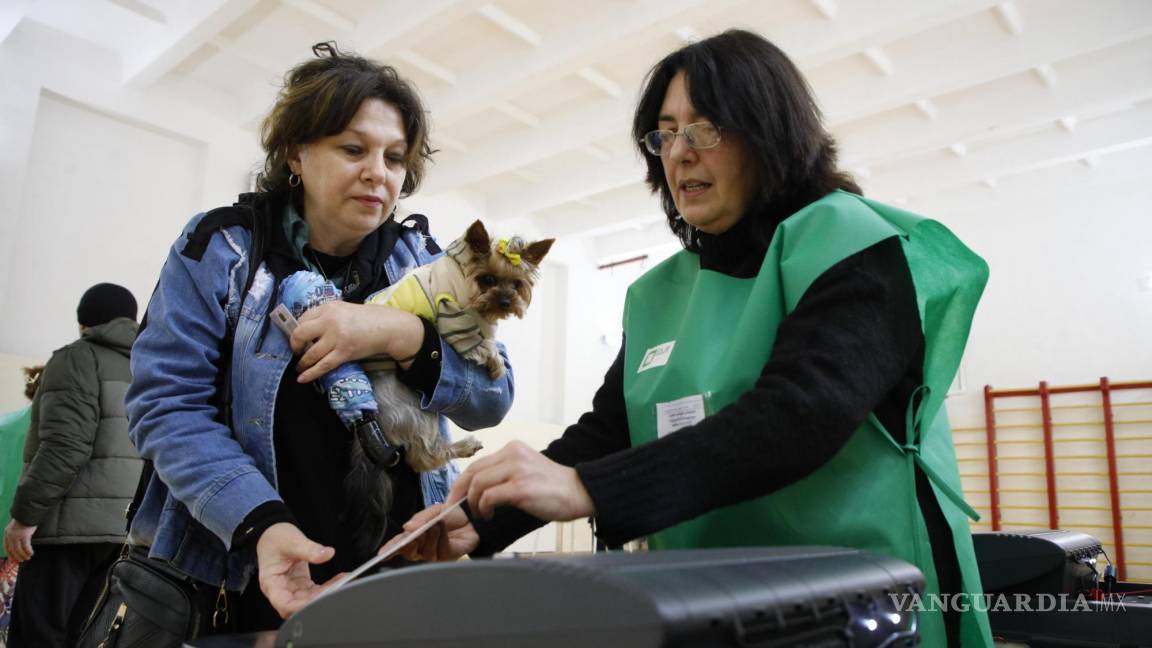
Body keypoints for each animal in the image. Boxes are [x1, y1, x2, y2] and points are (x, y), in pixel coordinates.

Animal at [343, 220, 550, 548]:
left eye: (517, 284)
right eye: (488, 279)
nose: (505, 302)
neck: (464, 279)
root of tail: (368, 414)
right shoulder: (453, 318)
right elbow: (480, 346)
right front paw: (494, 364)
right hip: (417, 411)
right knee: (424, 456)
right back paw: (465, 446)